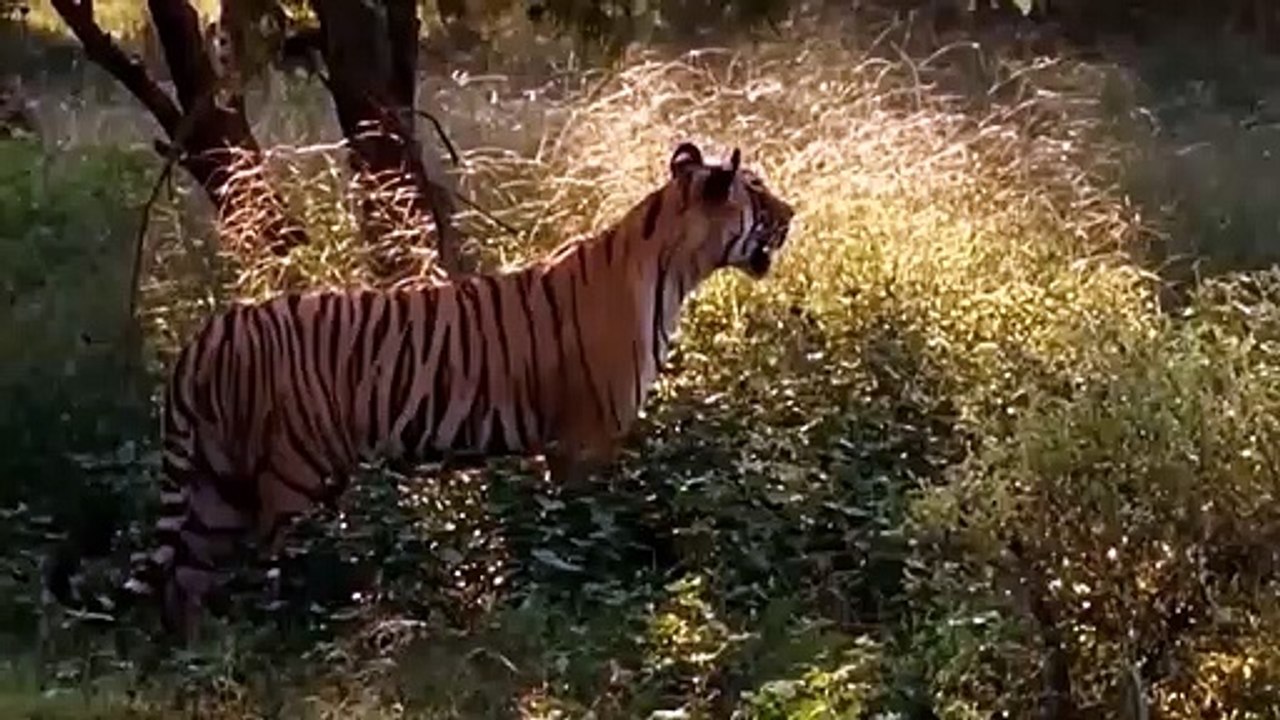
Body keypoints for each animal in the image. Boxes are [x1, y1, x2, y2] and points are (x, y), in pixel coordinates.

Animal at [44, 141, 796, 642]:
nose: (793, 213)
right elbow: (585, 529)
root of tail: (205, 335)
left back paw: (201, 657)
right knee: (261, 566)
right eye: (758, 197)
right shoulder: (585, 440)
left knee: (185, 580)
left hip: (215, 479)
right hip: (291, 474)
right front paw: (593, 592)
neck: (672, 265)